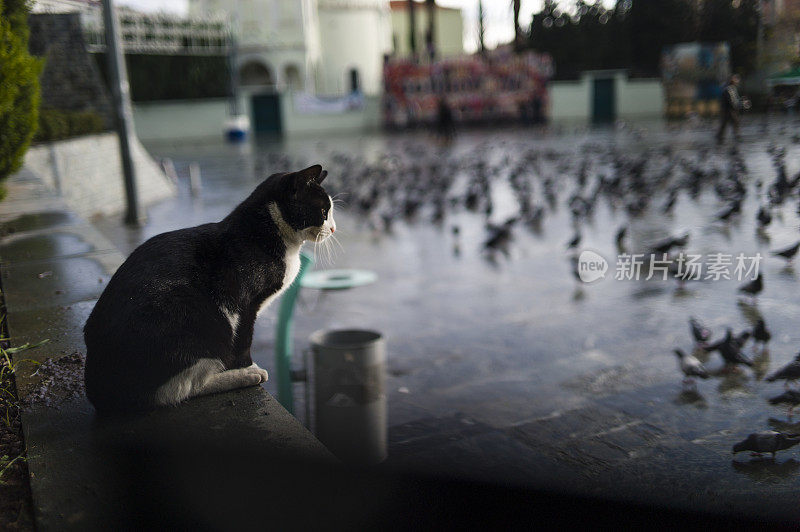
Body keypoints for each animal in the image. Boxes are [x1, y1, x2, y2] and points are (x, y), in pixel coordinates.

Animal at [86, 164, 336, 414]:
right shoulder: (245, 305)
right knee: (181, 389)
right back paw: (245, 376)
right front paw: (246, 366)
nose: (333, 229)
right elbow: (244, 340)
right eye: (323, 211)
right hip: (198, 317)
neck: (267, 232)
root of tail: (98, 391)